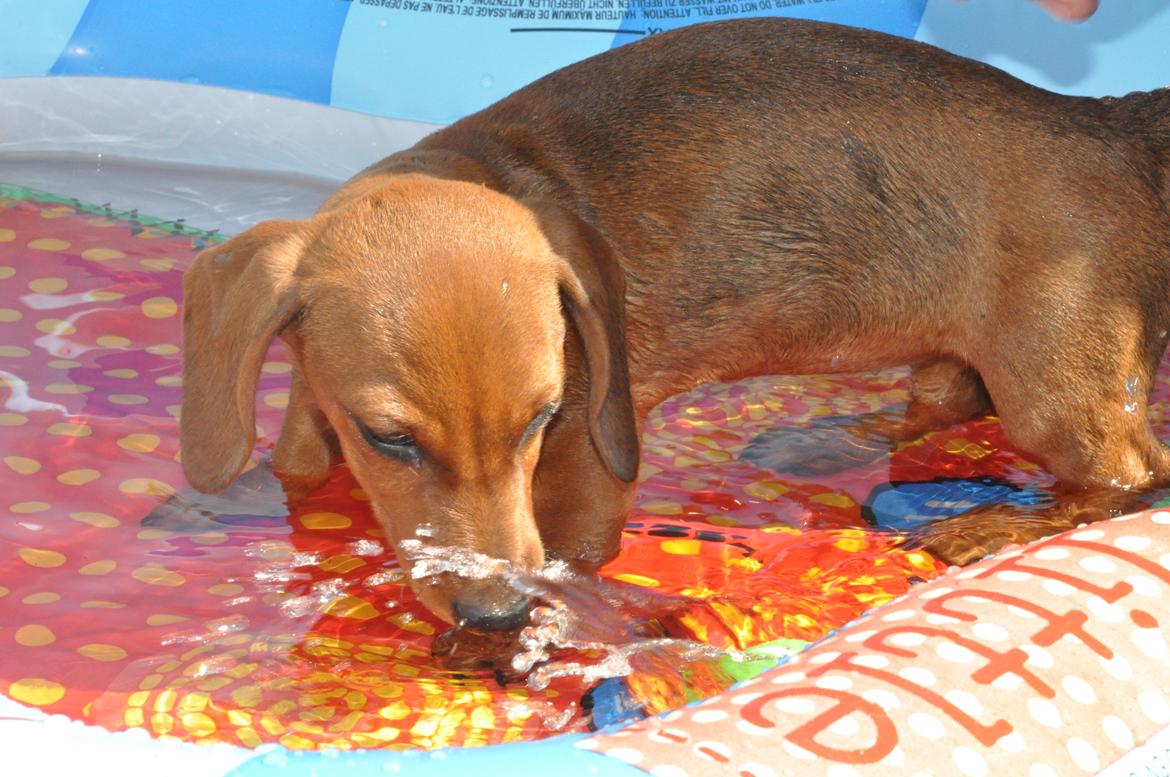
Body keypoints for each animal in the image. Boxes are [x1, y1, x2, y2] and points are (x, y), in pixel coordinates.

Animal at [177, 18, 1170, 636]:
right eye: (387, 437)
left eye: (542, 420)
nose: (499, 614)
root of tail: (1110, 125)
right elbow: (296, 470)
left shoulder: (585, 475)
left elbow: (571, 550)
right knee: (948, 396)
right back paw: (825, 440)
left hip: (1055, 381)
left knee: (1128, 476)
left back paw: (984, 527)